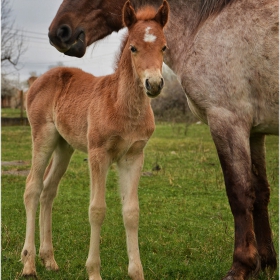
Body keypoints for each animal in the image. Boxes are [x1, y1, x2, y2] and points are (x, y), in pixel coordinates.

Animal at [20, 1, 168, 278]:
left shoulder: (134, 156)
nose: (153, 84)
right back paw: (29, 264)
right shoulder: (99, 153)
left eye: (164, 47)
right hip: (43, 136)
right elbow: (97, 210)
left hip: (64, 146)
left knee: (48, 190)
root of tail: (37, 80)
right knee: (33, 188)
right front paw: (94, 271)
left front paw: (136, 272)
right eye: (133, 47)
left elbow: (131, 212)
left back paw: (49, 259)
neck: (122, 105)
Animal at [48, 0, 278, 280]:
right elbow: (260, 192)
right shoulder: (254, 131)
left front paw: (241, 266)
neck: (207, 23)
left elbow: (239, 193)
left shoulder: (227, 120)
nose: (59, 32)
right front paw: (266, 262)